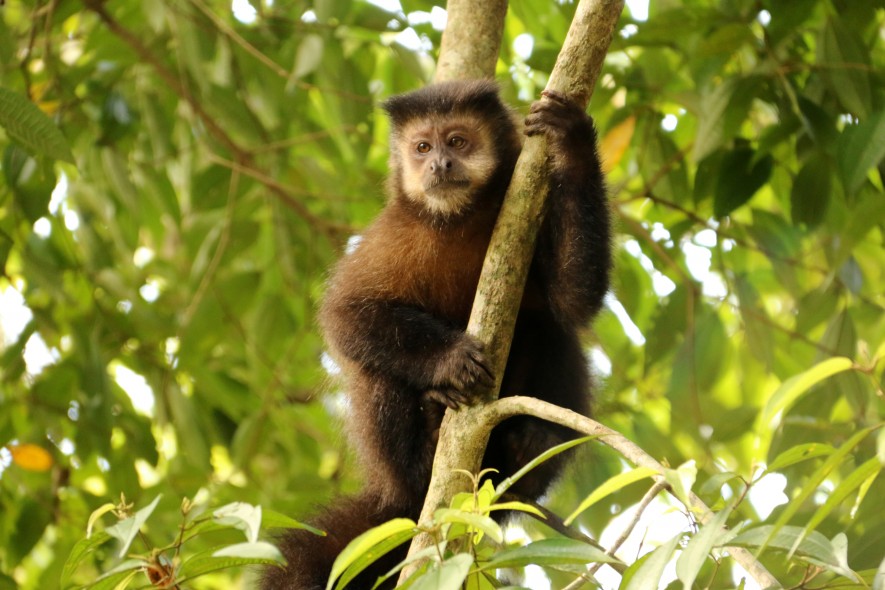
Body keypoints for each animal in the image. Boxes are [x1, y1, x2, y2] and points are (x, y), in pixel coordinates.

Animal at [261, 79, 611, 590]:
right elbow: (345, 318)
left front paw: (573, 140)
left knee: (548, 327)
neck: (458, 219)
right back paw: (427, 444)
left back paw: (529, 451)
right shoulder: (390, 237)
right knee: (377, 378)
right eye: (423, 146)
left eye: (458, 141)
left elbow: (573, 299)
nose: (439, 164)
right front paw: (451, 362)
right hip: (396, 476)